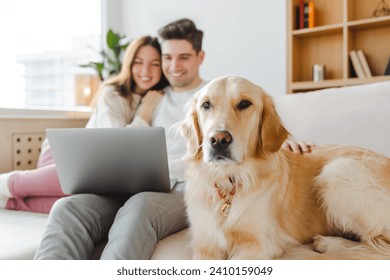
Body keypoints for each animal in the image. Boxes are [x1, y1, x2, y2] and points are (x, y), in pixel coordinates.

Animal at [180, 75, 390, 260]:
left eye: (244, 103)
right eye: (206, 105)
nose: (218, 140)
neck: (229, 179)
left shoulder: (257, 244)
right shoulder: (205, 245)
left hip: (337, 171)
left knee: (377, 243)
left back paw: (328, 243)